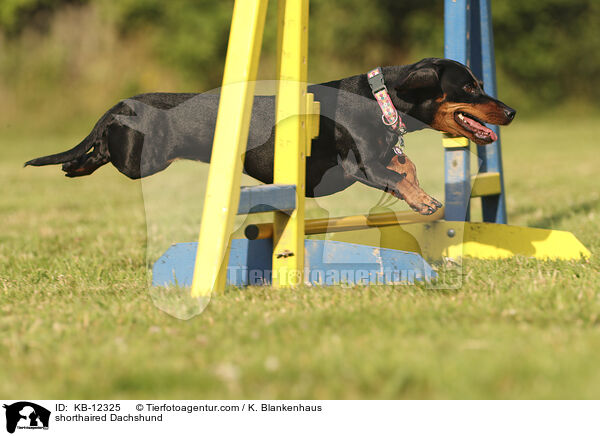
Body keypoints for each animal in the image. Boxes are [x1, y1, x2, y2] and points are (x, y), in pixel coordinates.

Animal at [25, 58, 512, 215]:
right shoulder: (358, 165)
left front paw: (422, 194)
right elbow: (396, 175)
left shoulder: (376, 158)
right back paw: (76, 163)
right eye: (470, 88)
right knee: (101, 149)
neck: (380, 101)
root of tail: (122, 104)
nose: (510, 112)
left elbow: (404, 165)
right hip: (139, 158)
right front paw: (424, 201)